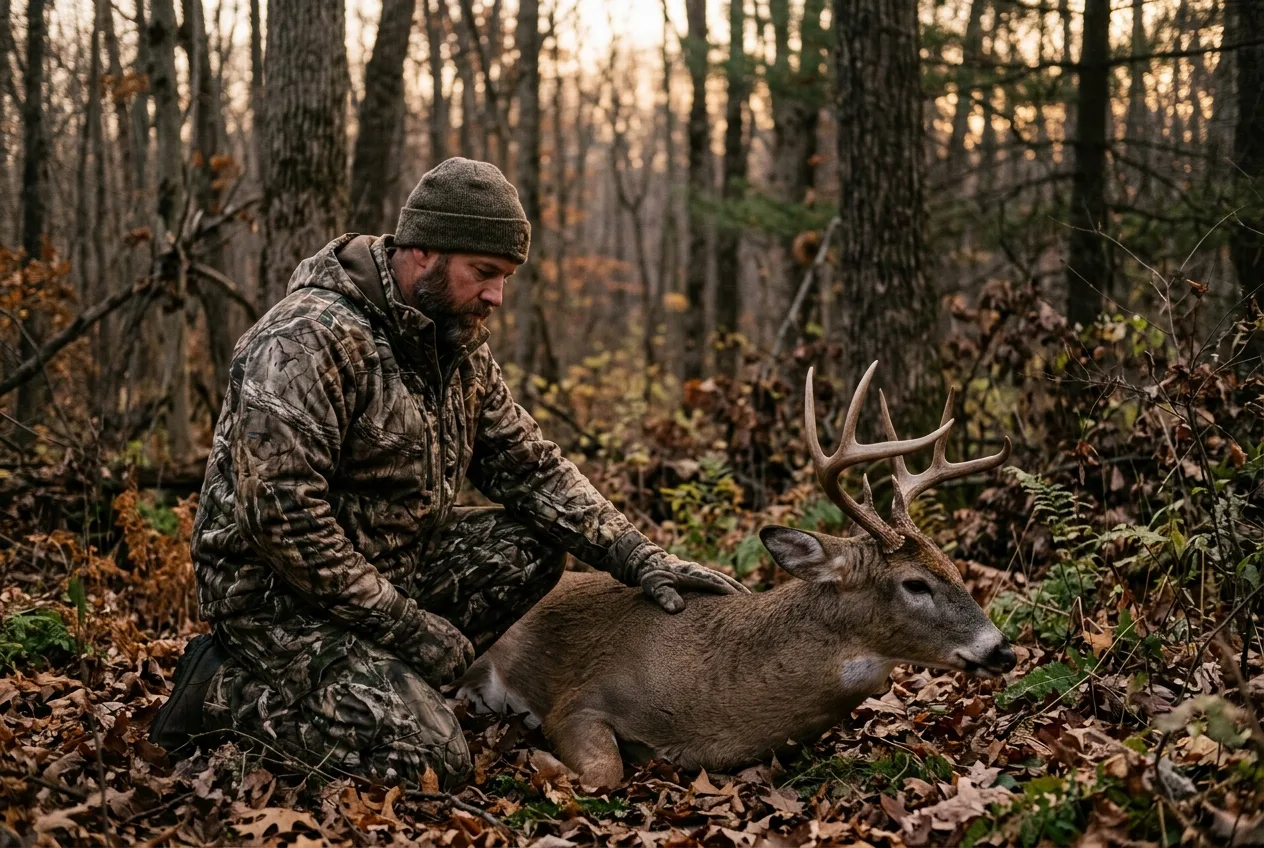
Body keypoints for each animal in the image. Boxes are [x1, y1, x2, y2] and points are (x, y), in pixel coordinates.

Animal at [457, 361, 1017, 788]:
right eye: (915, 583)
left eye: (952, 568)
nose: (1003, 650)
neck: (715, 700)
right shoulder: (578, 700)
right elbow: (604, 771)